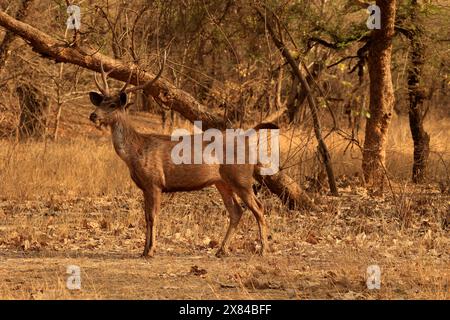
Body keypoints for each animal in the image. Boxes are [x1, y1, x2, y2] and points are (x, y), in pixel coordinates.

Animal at [88, 58, 278, 258]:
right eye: (100, 102)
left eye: (113, 105)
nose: (93, 115)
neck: (135, 151)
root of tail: (247, 138)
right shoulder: (145, 186)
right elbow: (146, 217)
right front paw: (143, 250)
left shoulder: (155, 182)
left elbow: (153, 216)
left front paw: (151, 250)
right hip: (222, 182)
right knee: (236, 211)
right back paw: (221, 250)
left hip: (241, 178)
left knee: (258, 208)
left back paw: (263, 250)